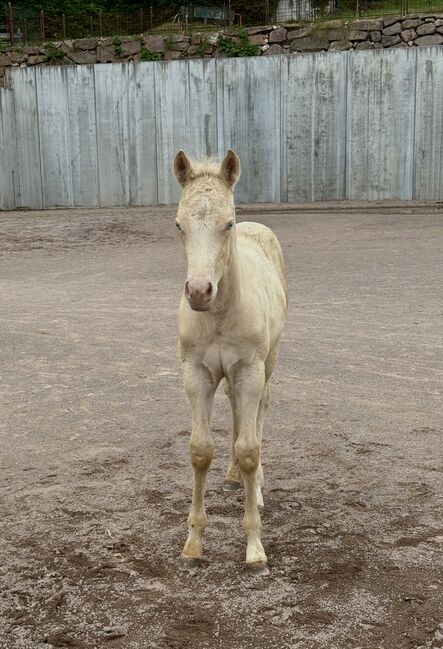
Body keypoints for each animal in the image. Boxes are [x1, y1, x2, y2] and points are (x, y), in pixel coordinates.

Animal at [173, 149, 288, 575]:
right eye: (179, 225)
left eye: (228, 224)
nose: (198, 292)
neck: (221, 314)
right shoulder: (196, 374)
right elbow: (200, 450)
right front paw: (193, 545)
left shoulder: (250, 371)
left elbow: (250, 448)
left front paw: (255, 548)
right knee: (238, 414)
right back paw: (234, 475)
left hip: (265, 365)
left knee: (257, 415)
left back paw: (255, 487)